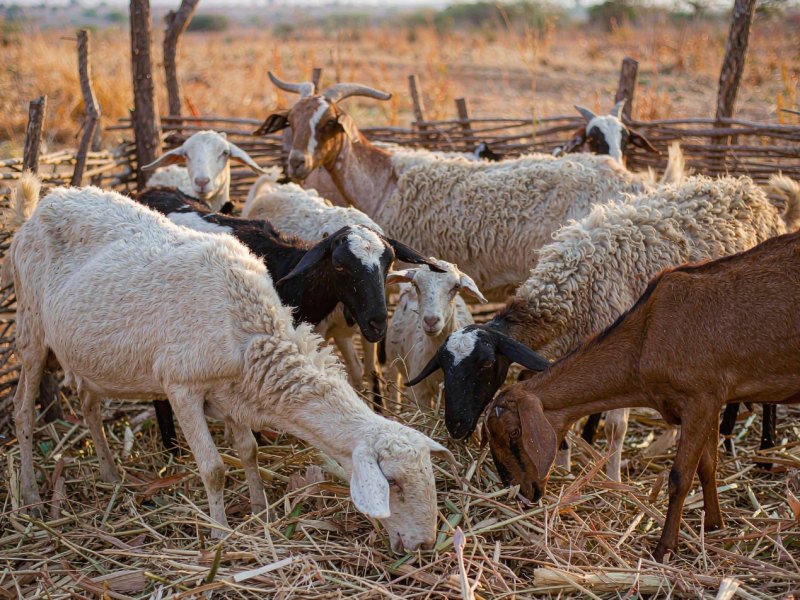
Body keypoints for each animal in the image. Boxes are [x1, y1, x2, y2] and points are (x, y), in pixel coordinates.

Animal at [6, 174, 453, 551]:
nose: (424, 545)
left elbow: (249, 450)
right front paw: (221, 534)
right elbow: (214, 469)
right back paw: (30, 496)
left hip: (87, 353)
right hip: (31, 328)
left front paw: (259, 511)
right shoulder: (182, 388)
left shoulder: (231, 392)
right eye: (392, 483)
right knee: (23, 410)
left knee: (88, 404)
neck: (251, 328)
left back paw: (110, 474)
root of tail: (47, 201)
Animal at [407, 174, 800, 476]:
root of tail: (748, 187)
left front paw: (611, 478)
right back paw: (728, 436)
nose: (456, 427)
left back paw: (763, 454)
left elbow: (617, 427)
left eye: (486, 364)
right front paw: (565, 461)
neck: (569, 287)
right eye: (444, 366)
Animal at [484, 227, 800, 561]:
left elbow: (679, 477)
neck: (646, 337)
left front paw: (664, 549)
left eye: (515, 434)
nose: (523, 494)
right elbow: (708, 467)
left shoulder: (699, 398)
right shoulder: (711, 401)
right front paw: (714, 525)